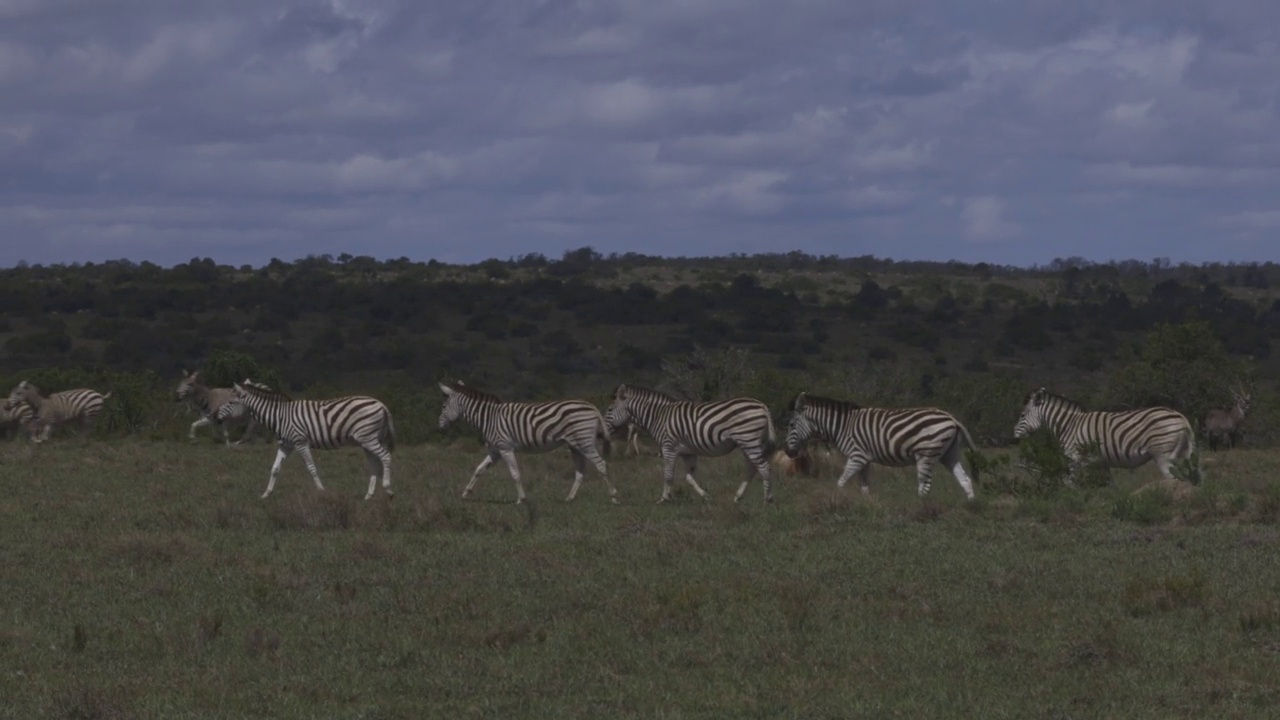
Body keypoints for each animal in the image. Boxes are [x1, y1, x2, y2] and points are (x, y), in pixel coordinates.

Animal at [218, 381, 394, 499]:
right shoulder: (285, 445)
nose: (216, 416)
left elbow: (311, 468)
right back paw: (368, 496)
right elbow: (275, 468)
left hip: (368, 438)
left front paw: (322, 491)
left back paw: (388, 489)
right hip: (367, 440)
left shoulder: (300, 442)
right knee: (374, 465)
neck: (280, 417)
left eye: (231, 402)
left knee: (386, 456)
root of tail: (382, 404)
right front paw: (266, 494)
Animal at [440, 381, 619, 504]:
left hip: (584, 441)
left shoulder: (505, 448)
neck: (489, 418)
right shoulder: (496, 451)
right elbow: (479, 469)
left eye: (443, 406)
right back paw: (569, 498)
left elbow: (515, 474)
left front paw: (521, 499)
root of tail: (592, 406)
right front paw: (466, 493)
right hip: (574, 444)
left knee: (601, 464)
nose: (440, 425)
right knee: (580, 471)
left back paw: (613, 497)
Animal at [596, 381, 768, 504]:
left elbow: (668, 474)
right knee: (752, 468)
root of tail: (762, 405)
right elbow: (688, 477)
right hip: (746, 443)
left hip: (749, 440)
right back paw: (738, 497)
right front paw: (705, 496)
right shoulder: (688, 452)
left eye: (609, 410)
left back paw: (768, 499)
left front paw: (664, 499)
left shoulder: (668, 447)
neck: (659, 416)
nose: (600, 433)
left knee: (763, 467)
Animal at [778, 392, 977, 499]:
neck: (843, 427)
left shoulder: (857, 456)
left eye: (791, 425)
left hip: (926, 454)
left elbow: (841, 482)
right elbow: (865, 487)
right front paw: (868, 505)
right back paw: (971, 506)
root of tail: (952, 418)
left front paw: (837, 498)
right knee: (965, 480)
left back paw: (921, 509)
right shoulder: (865, 459)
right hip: (949, 454)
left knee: (925, 486)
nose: (787, 451)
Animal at [1013, 386, 1192, 481]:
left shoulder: (1074, 458)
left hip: (1163, 455)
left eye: (1022, 415)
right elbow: (1110, 488)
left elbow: (1069, 484)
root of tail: (1182, 417)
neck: (1068, 425)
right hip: (1181, 455)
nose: (1014, 435)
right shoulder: (1101, 463)